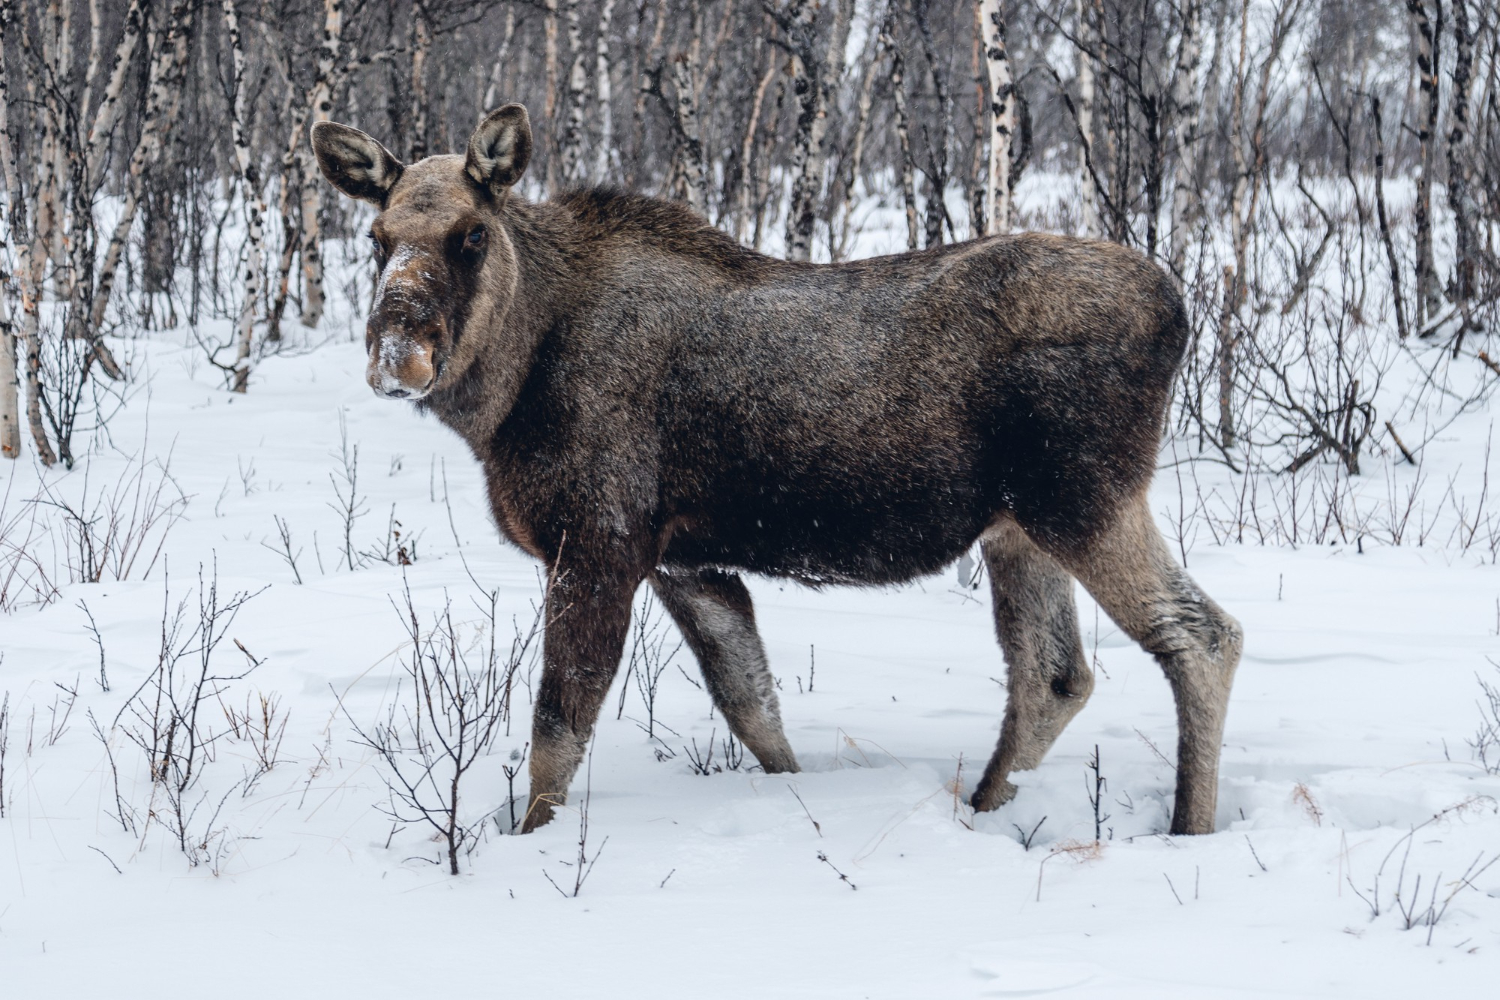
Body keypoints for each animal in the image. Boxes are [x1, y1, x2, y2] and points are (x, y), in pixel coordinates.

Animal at [311, 104, 1242, 835]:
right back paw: (981, 811)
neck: (507, 392)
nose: (398, 354)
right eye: (378, 237)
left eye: (471, 234)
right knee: (1054, 676)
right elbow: (755, 709)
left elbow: (556, 735)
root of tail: (1178, 308)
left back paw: (1188, 828)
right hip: (1018, 528)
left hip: (1083, 498)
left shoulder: (600, 543)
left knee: (1201, 635)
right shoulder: (687, 562)